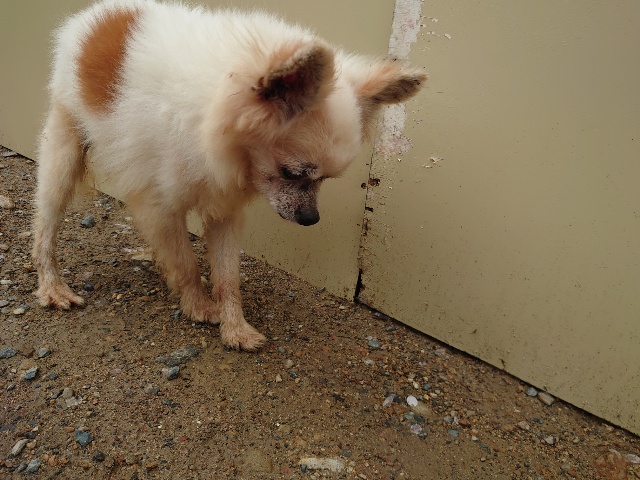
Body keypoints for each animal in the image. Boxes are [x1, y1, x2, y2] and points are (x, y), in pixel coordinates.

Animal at [32, 0, 426, 350]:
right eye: (292, 172)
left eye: (325, 181)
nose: (311, 218)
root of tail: (94, 14)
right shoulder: (161, 204)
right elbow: (186, 263)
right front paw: (199, 306)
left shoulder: (223, 209)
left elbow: (227, 275)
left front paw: (235, 327)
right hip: (63, 155)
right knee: (45, 228)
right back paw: (53, 288)